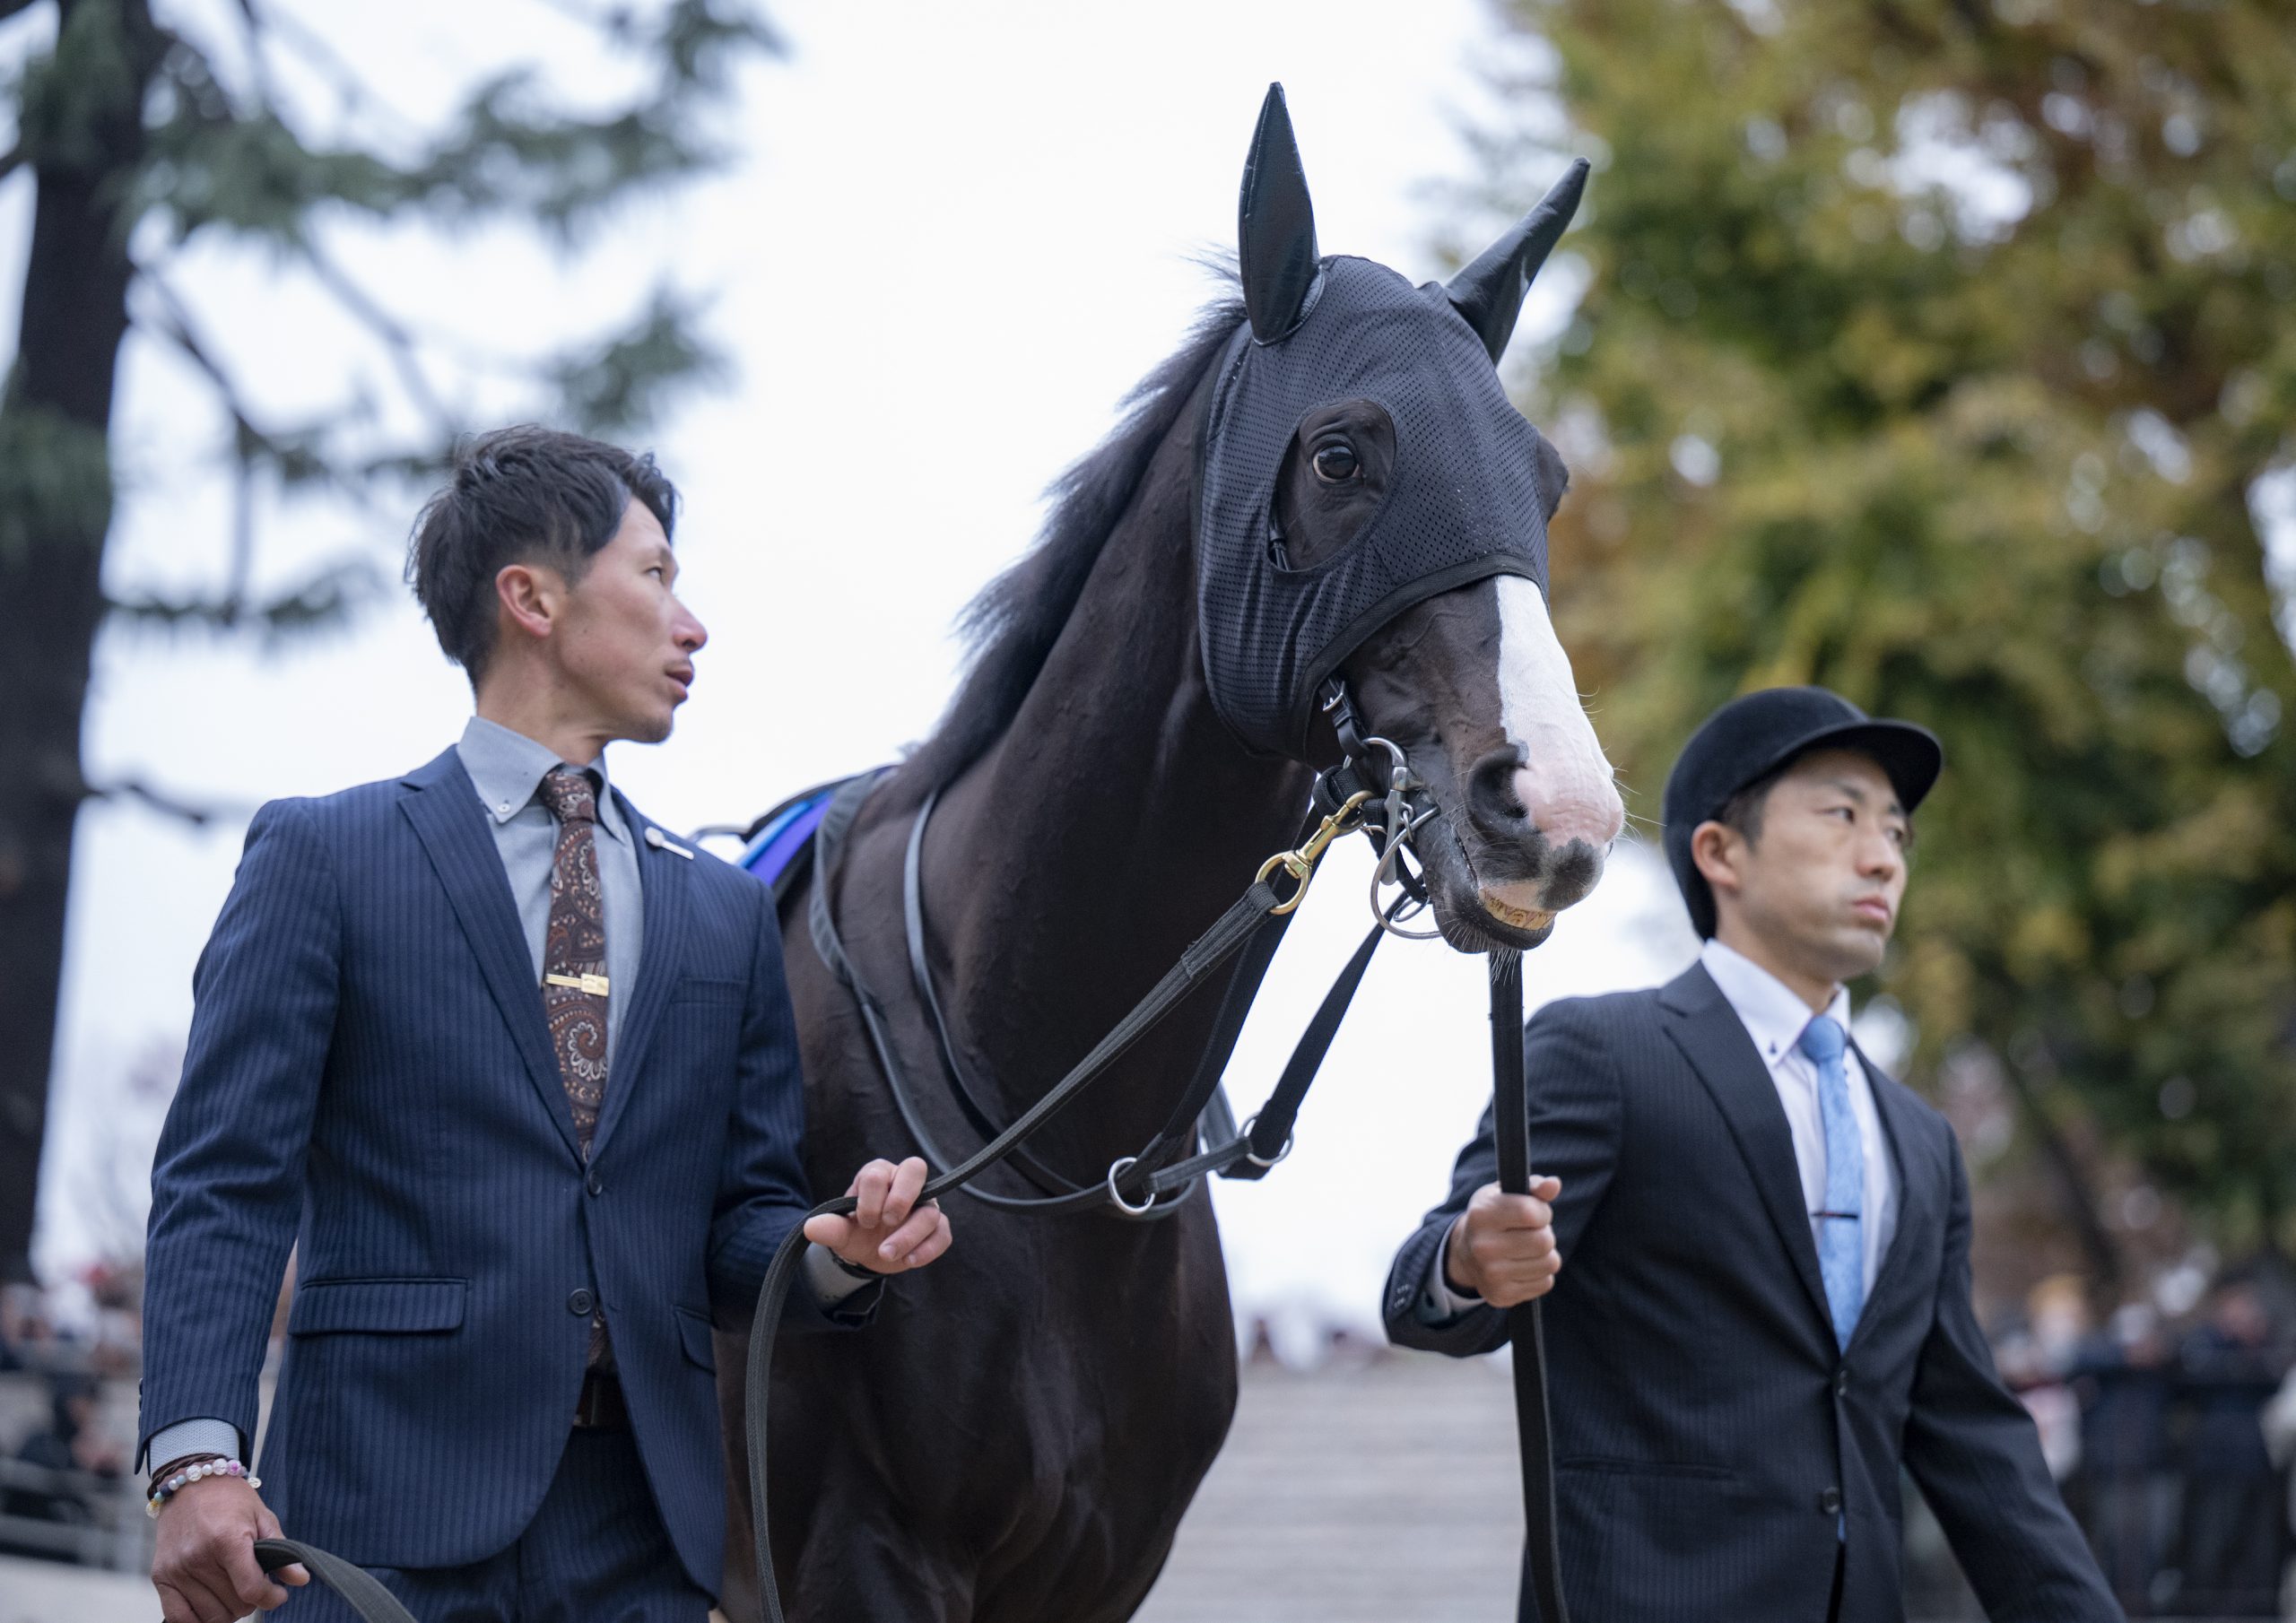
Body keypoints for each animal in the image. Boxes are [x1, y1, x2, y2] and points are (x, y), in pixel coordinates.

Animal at [725, 91, 1625, 1623]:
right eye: (1341, 456)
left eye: (1545, 479)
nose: (1554, 805)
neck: (1036, 1125)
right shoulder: (860, 1558)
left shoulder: (1102, 1572)